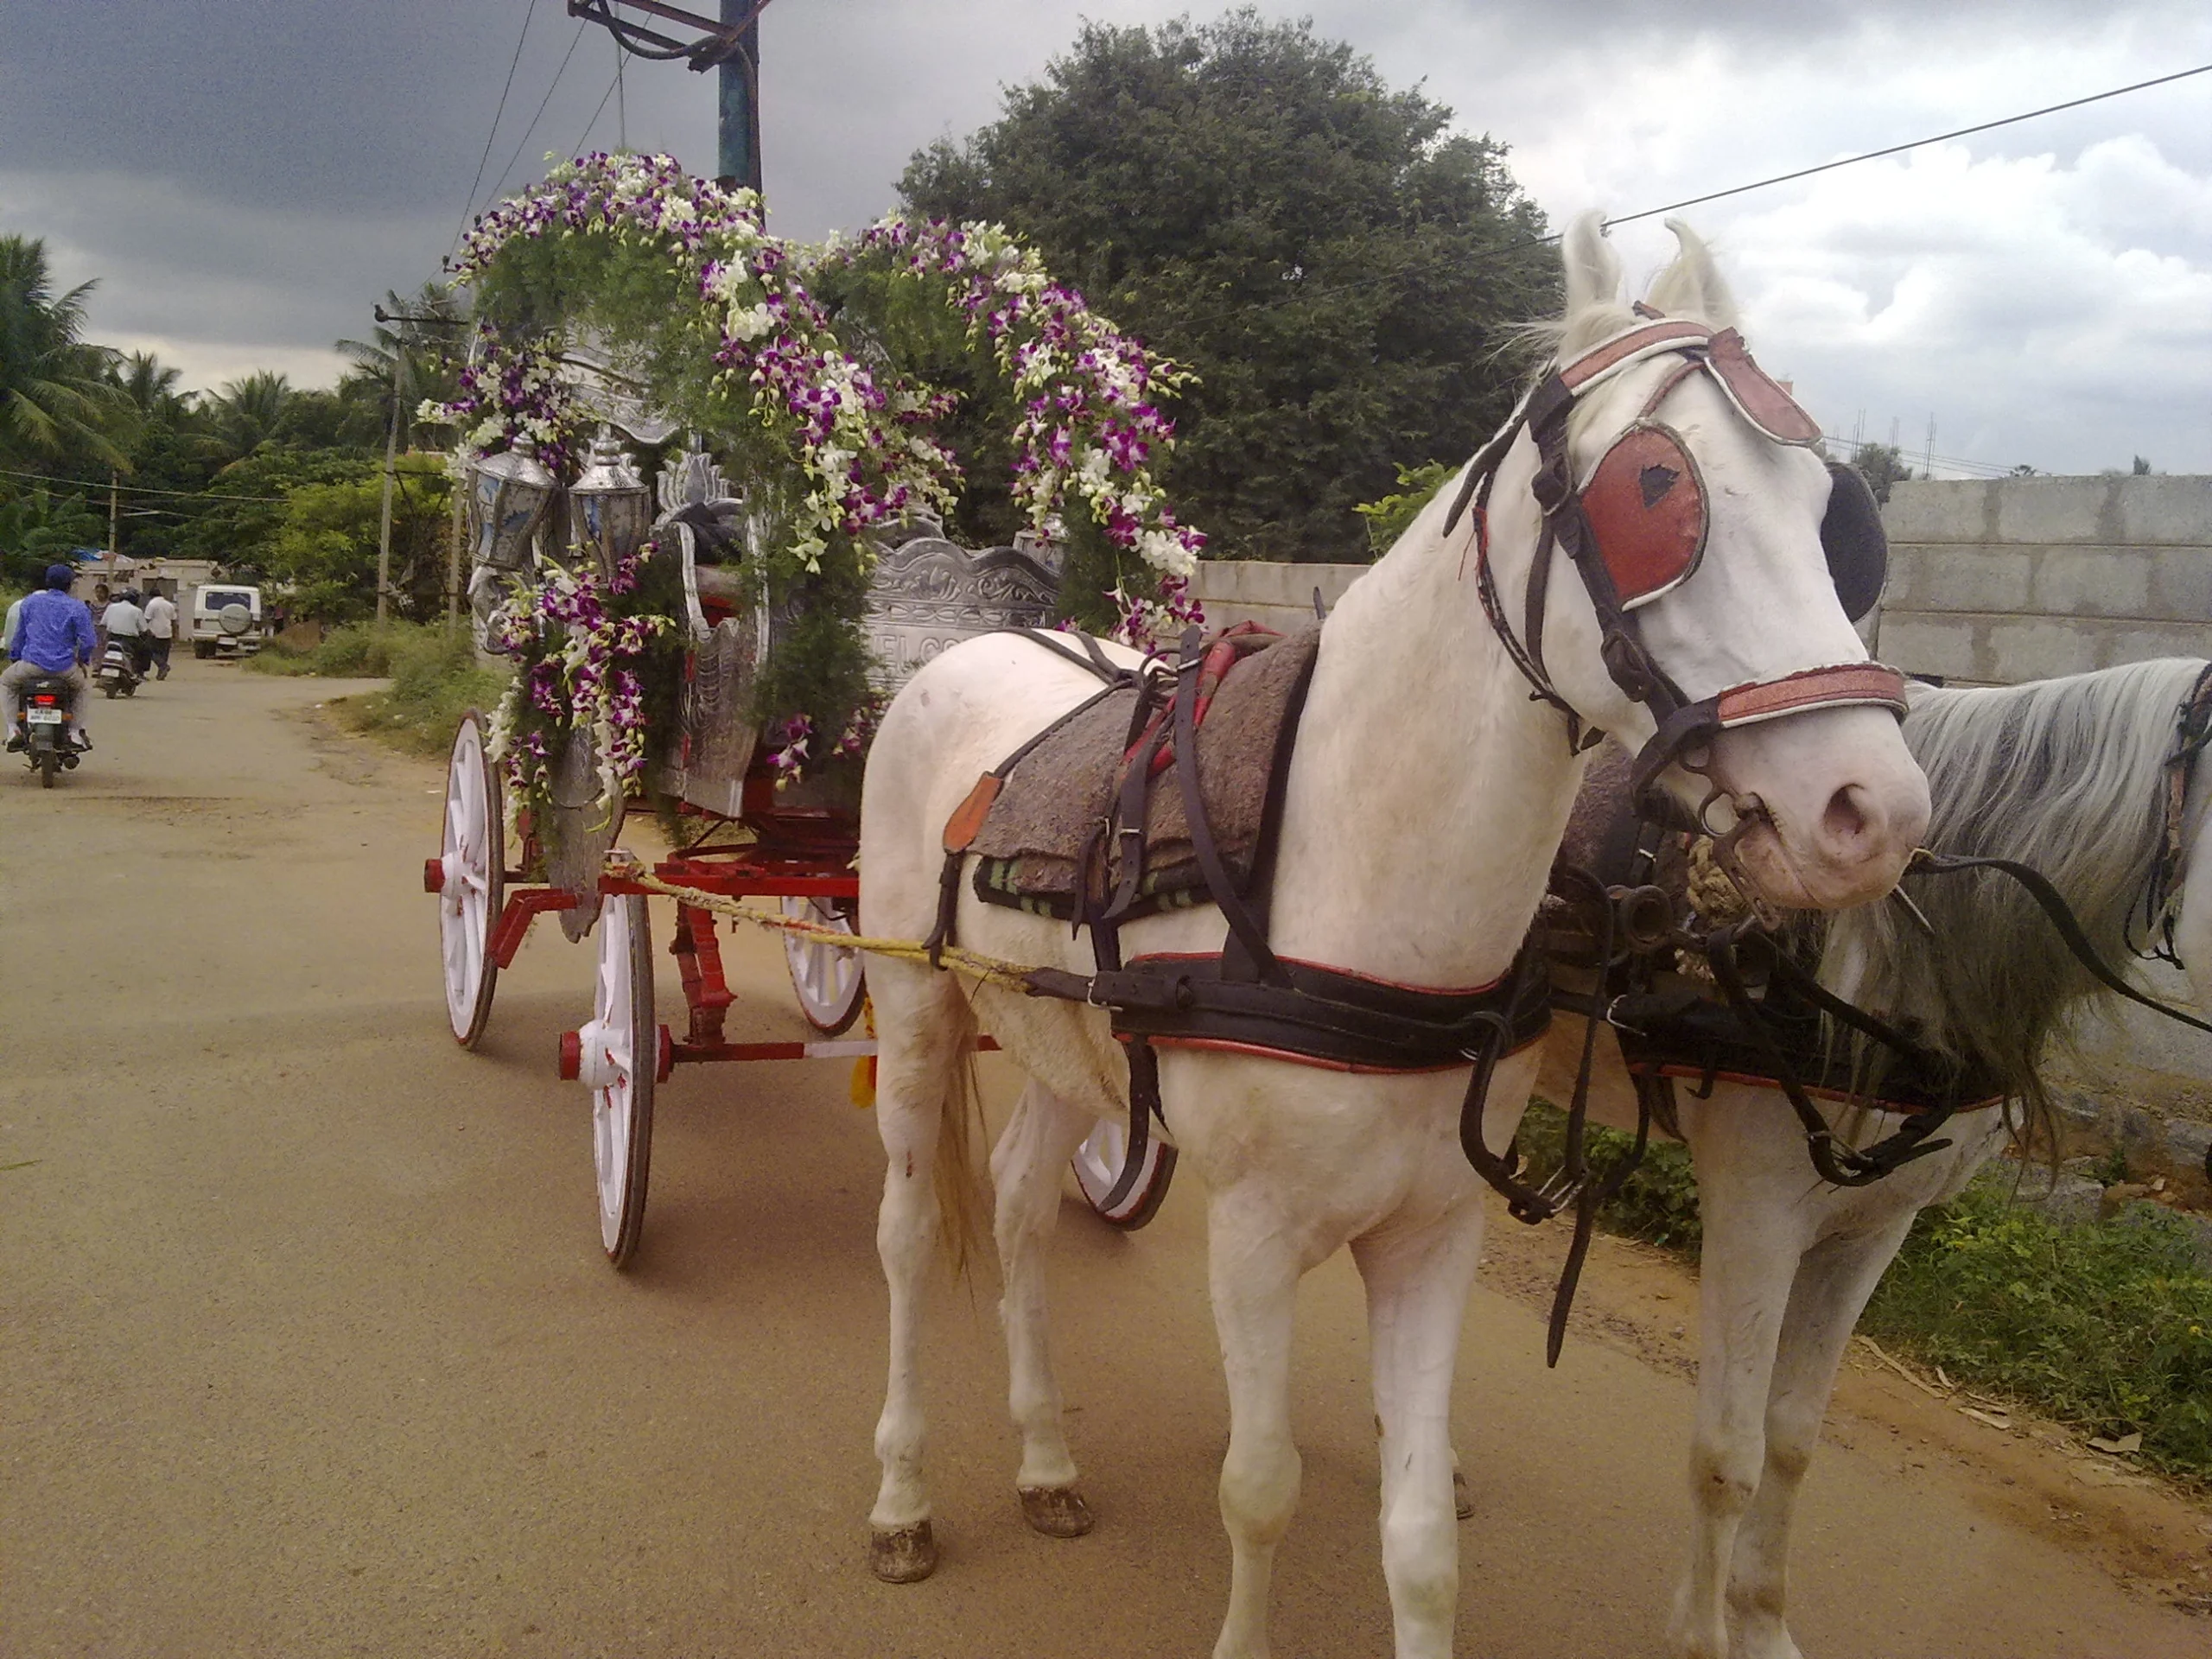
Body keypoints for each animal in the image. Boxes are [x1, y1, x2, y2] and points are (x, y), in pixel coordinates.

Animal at [856, 215, 1933, 1659]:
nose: (1875, 811)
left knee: (1025, 1204)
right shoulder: (1252, 1234)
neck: (1357, 884)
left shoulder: (1435, 1230)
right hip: (917, 1012)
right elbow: (1258, 1492)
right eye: (1658, 491)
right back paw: (904, 1495)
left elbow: (1420, 1545)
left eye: (1837, 517)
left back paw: (1043, 1460)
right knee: (911, 1236)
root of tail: (976, 646)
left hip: (1058, 1039)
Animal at [1536, 656, 2212, 1659]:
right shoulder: (1756, 1217)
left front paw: (1763, 1626)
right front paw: (1703, 1637)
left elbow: (1791, 1438)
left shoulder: (1875, 1226)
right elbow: (1728, 1456)